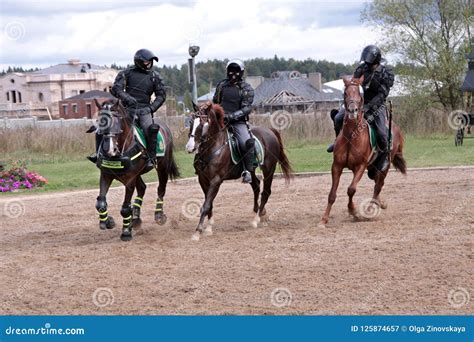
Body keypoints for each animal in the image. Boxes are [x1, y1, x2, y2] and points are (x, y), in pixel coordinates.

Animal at [93, 97, 180, 239]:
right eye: (100, 121)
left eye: (117, 120)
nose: (108, 149)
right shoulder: (106, 175)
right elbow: (100, 202)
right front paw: (108, 221)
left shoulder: (129, 180)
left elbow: (125, 208)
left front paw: (126, 232)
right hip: (138, 174)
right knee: (142, 189)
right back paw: (136, 219)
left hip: (162, 167)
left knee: (161, 189)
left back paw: (158, 215)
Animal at [185, 101, 292, 240]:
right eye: (191, 122)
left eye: (203, 124)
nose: (190, 147)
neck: (214, 147)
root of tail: (269, 130)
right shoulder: (202, 179)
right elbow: (209, 204)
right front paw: (208, 227)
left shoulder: (216, 180)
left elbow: (206, 205)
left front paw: (198, 231)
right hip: (251, 170)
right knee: (256, 185)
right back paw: (258, 212)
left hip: (269, 169)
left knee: (266, 192)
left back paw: (257, 219)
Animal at [318, 77, 408, 227]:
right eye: (345, 93)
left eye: (360, 94)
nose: (352, 110)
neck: (352, 137)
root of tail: (396, 128)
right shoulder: (337, 166)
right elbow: (332, 195)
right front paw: (324, 219)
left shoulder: (360, 167)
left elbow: (351, 189)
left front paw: (353, 211)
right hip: (372, 168)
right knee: (377, 183)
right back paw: (380, 202)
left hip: (383, 167)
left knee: (378, 185)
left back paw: (372, 207)